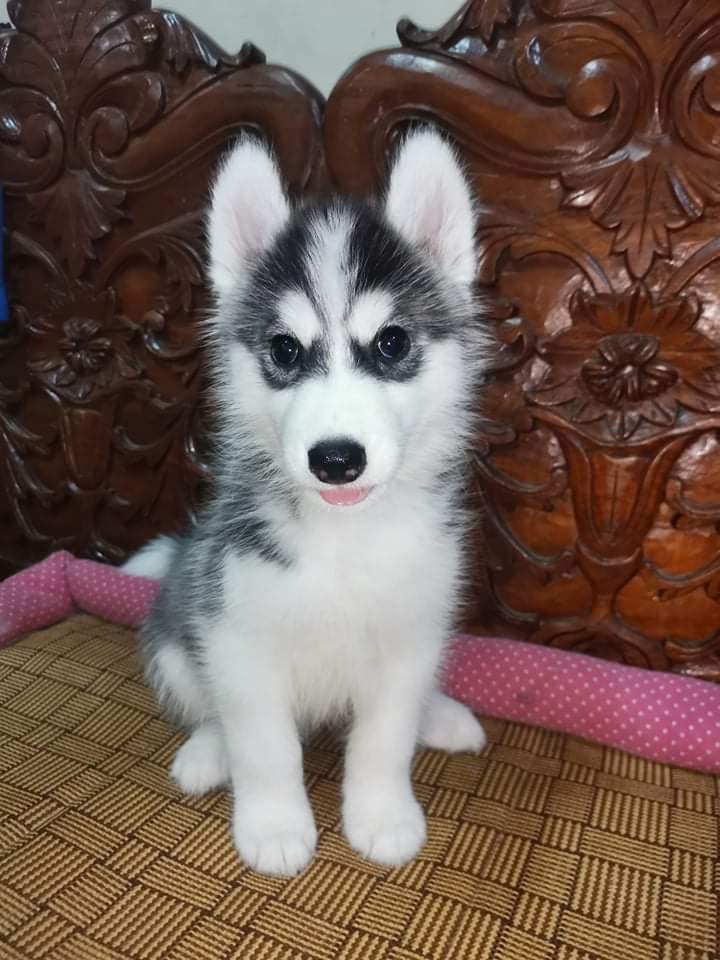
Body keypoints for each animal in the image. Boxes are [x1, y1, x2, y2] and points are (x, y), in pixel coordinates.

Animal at [126, 129, 492, 876]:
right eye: (286, 350)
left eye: (391, 343)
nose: (336, 458)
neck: (343, 541)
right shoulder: (238, 638)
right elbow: (266, 747)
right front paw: (272, 825)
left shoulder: (408, 637)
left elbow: (383, 740)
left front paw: (382, 815)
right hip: (178, 636)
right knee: (207, 705)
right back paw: (207, 751)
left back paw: (440, 715)